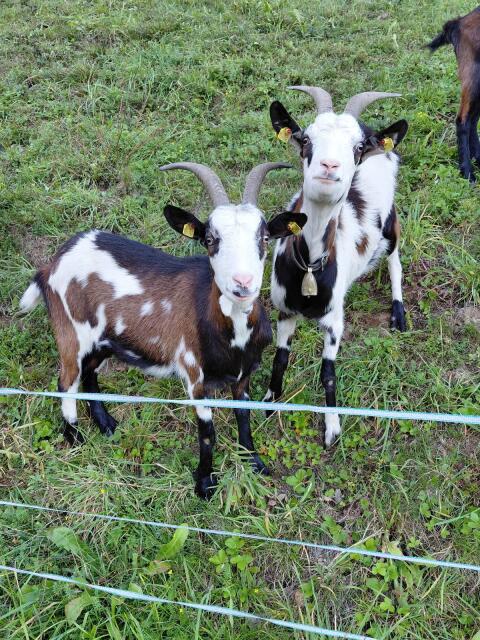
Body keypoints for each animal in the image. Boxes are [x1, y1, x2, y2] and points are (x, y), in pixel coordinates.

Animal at [19, 162, 307, 498]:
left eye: (264, 237)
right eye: (210, 239)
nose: (242, 283)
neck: (230, 336)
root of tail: (50, 265)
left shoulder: (244, 373)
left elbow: (243, 416)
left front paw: (254, 462)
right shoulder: (194, 377)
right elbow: (207, 432)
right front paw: (204, 484)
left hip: (105, 340)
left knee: (89, 373)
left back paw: (106, 425)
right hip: (71, 332)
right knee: (66, 381)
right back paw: (74, 436)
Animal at [265, 86, 408, 446]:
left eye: (356, 148)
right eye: (305, 139)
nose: (329, 165)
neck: (310, 267)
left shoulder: (334, 323)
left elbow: (327, 373)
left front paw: (332, 428)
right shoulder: (284, 311)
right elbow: (280, 358)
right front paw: (269, 401)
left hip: (391, 223)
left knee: (395, 258)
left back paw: (398, 313)